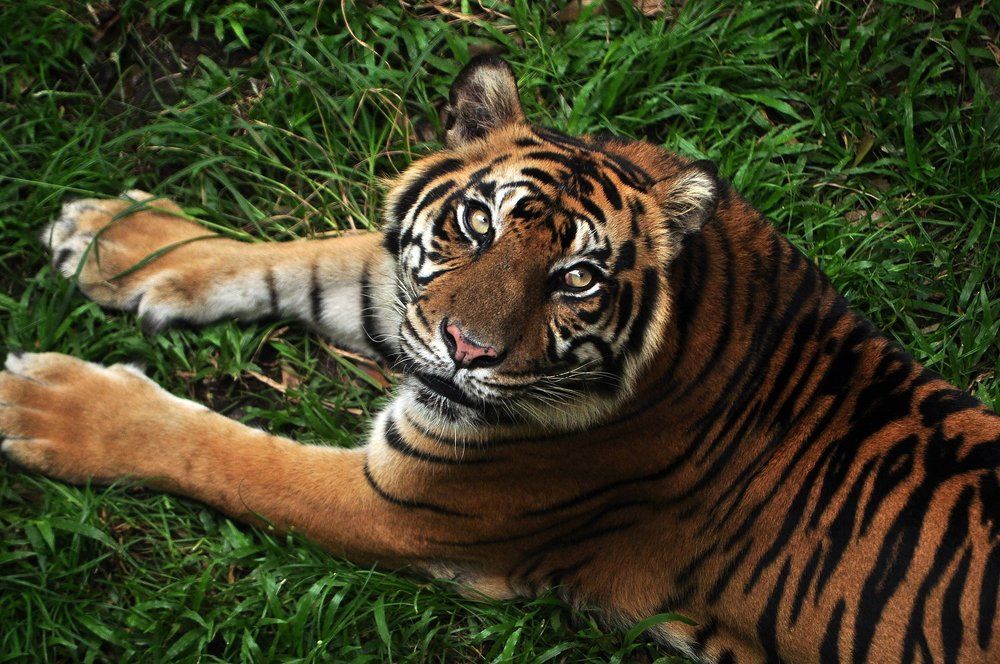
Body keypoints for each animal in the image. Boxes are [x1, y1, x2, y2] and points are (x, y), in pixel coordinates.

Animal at [2, 55, 998, 663]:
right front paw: (120, 239)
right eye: (476, 223)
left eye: (578, 277)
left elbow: (226, 454)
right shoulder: (403, 307)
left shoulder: (405, 507)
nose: (466, 351)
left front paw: (48, 404)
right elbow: (302, 259)